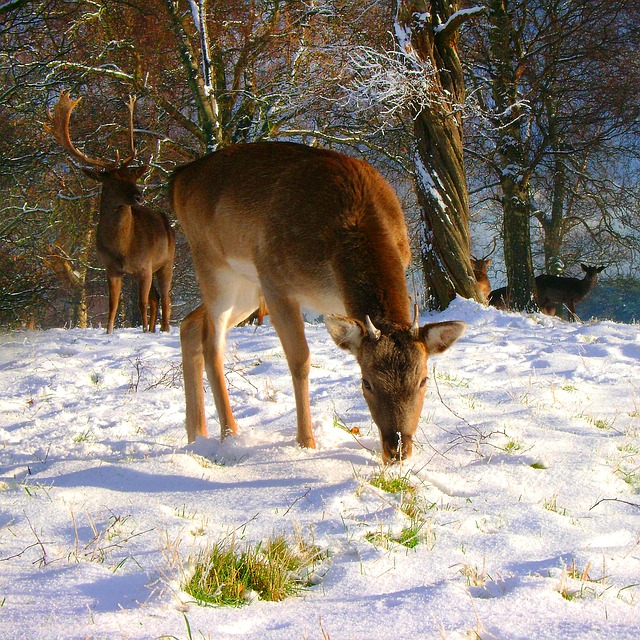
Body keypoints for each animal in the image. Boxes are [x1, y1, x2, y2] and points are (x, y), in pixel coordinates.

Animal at [44, 90, 175, 336]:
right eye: (113, 180)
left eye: (133, 177)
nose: (139, 196)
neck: (122, 246)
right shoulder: (111, 267)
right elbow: (113, 304)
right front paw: (109, 332)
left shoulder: (144, 265)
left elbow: (141, 302)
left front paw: (143, 330)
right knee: (156, 298)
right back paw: (154, 329)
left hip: (166, 261)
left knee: (165, 298)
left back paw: (163, 329)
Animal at [170, 142, 464, 462]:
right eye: (366, 381)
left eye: (423, 380)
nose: (397, 449)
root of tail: (179, 177)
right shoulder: (275, 280)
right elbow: (300, 360)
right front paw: (306, 443)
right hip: (213, 264)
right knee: (213, 344)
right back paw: (229, 435)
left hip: (246, 286)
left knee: (190, 324)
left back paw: (196, 436)